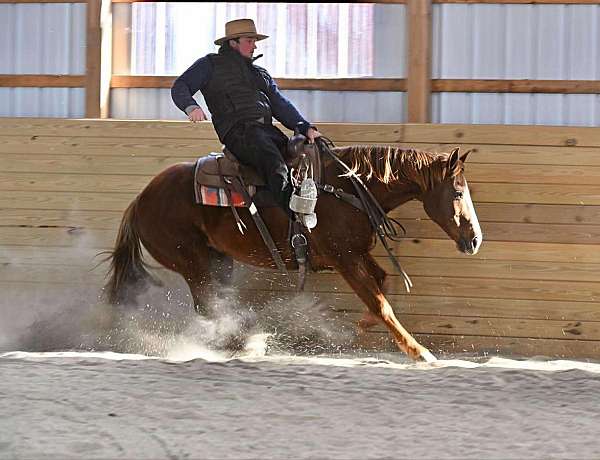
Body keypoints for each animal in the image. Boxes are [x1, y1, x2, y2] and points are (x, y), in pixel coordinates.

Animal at [103, 146, 480, 362]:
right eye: (458, 193)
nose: (475, 239)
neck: (345, 189)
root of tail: (140, 200)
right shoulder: (345, 258)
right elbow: (380, 303)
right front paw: (419, 352)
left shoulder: (356, 253)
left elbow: (382, 283)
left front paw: (362, 325)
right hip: (192, 262)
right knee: (208, 305)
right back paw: (245, 343)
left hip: (217, 259)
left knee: (216, 303)